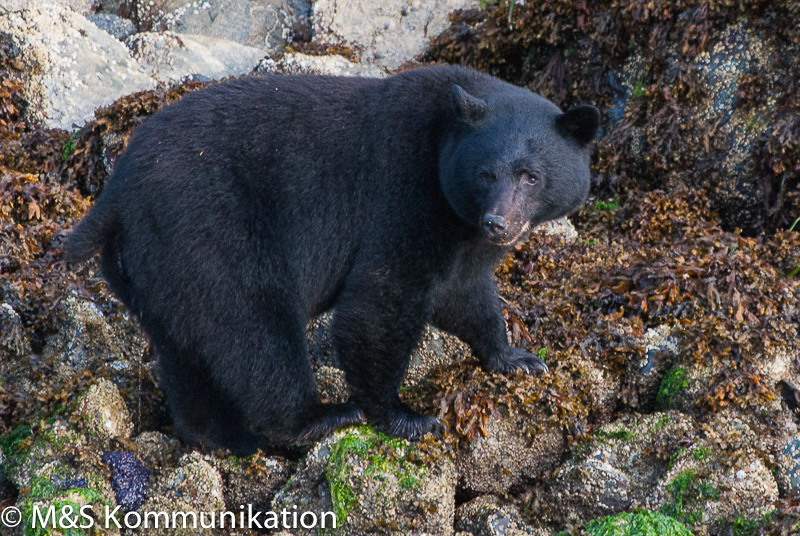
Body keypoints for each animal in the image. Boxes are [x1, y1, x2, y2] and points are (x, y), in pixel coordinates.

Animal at [67, 65, 592, 454]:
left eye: (531, 176)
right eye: (486, 173)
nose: (498, 223)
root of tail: (114, 192)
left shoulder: (459, 235)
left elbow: (464, 293)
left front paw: (516, 357)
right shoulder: (402, 197)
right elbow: (380, 301)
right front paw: (404, 416)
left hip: (152, 263)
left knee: (184, 351)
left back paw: (221, 437)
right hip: (212, 233)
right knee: (254, 328)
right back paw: (317, 417)